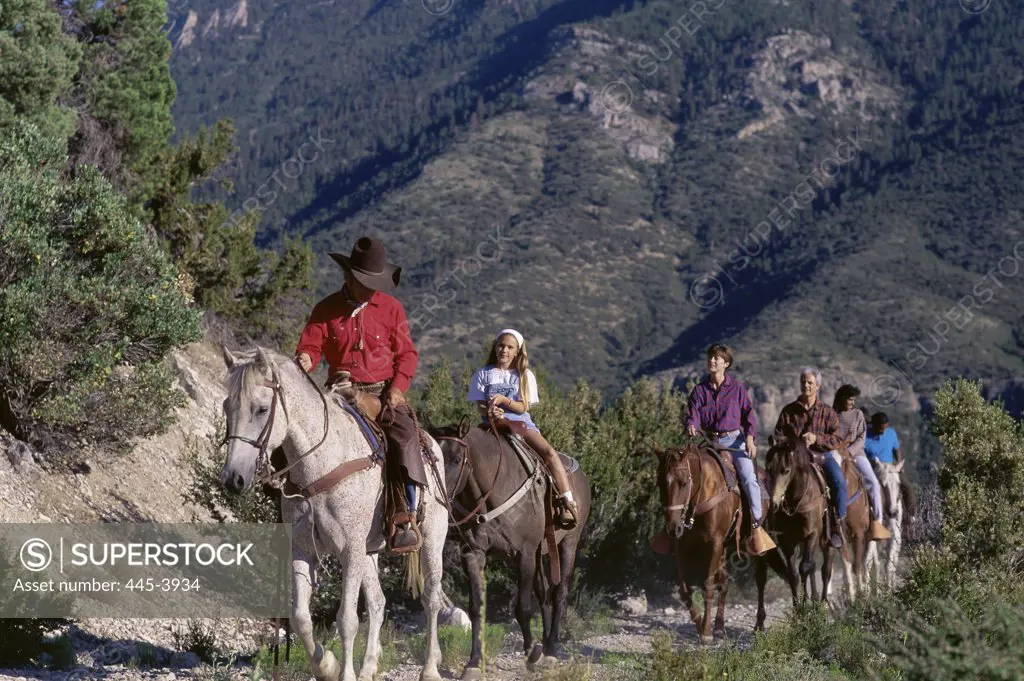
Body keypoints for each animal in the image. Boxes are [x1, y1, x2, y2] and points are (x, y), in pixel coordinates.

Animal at [220, 348, 448, 679]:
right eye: (227, 407)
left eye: (261, 409)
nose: (232, 478)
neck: (321, 463)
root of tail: (432, 444)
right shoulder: (303, 548)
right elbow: (301, 617)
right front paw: (326, 665)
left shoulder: (349, 551)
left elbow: (347, 620)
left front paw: (344, 673)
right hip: (370, 553)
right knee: (378, 602)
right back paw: (368, 668)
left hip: (431, 539)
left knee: (431, 598)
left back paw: (429, 668)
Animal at [432, 417, 593, 675]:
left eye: (456, 459)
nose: (438, 495)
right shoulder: (473, 554)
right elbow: (477, 607)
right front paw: (474, 662)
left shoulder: (524, 554)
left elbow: (523, 607)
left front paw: (532, 654)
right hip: (540, 553)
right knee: (544, 593)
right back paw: (545, 643)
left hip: (569, 543)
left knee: (559, 594)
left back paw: (551, 650)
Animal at [655, 440, 745, 643]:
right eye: (660, 483)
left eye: (684, 483)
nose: (672, 528)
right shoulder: (681, 547)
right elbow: (684, 589)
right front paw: (698, 622)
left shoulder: (715, 544)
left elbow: (707, 586)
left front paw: (706, 631)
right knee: (724, 581)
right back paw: (718, 626)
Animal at [864, 458, 905, 593]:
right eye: (882, 484)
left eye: (898, 483)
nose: (893, 512)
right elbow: (873, 563)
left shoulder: (894, 537)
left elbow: (888, 565)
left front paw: (888, 591)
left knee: (893, 562)